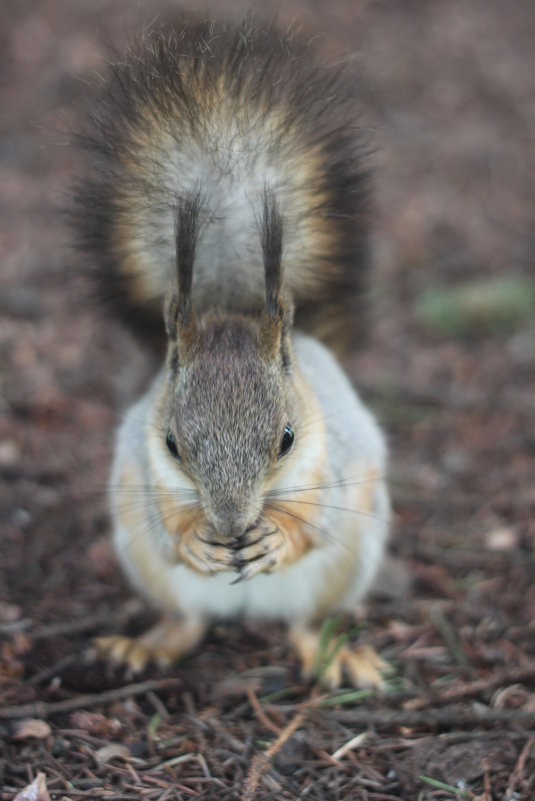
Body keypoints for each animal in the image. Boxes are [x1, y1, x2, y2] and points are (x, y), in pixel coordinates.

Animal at [75, 14, 392, 688]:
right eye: (172, 442)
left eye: (288, 439)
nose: (230, 525)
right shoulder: (144, 468)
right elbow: (168, 525)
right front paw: (197, 538)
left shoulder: (334, 461)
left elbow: (311, 524)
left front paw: (275, 537)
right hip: (147, 564)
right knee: (187, 620)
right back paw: (147, 646)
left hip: (344, 569)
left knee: (302, 625)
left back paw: (332, 656)